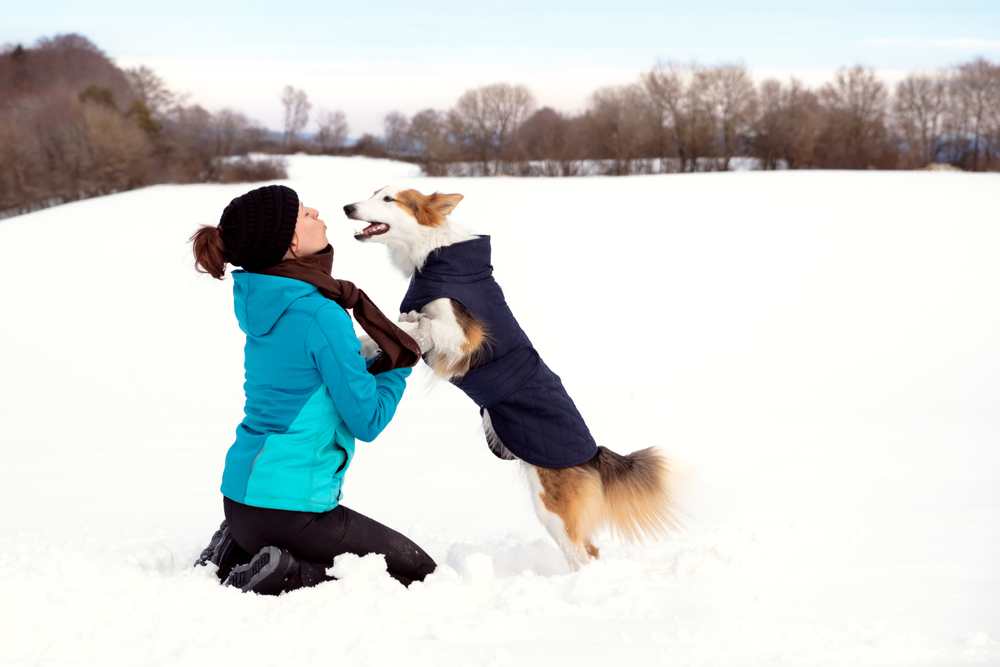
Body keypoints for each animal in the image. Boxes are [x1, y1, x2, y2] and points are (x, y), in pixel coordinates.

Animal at [342, 187, 680, 568]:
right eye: (373, 193)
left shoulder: (463, 337)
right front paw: (359, 345)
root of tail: (592, 453)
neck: (433, 251)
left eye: (389, 199)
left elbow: (406, 326)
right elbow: (378, 334)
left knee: (585, 554)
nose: (347, 207)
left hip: (552, 506)